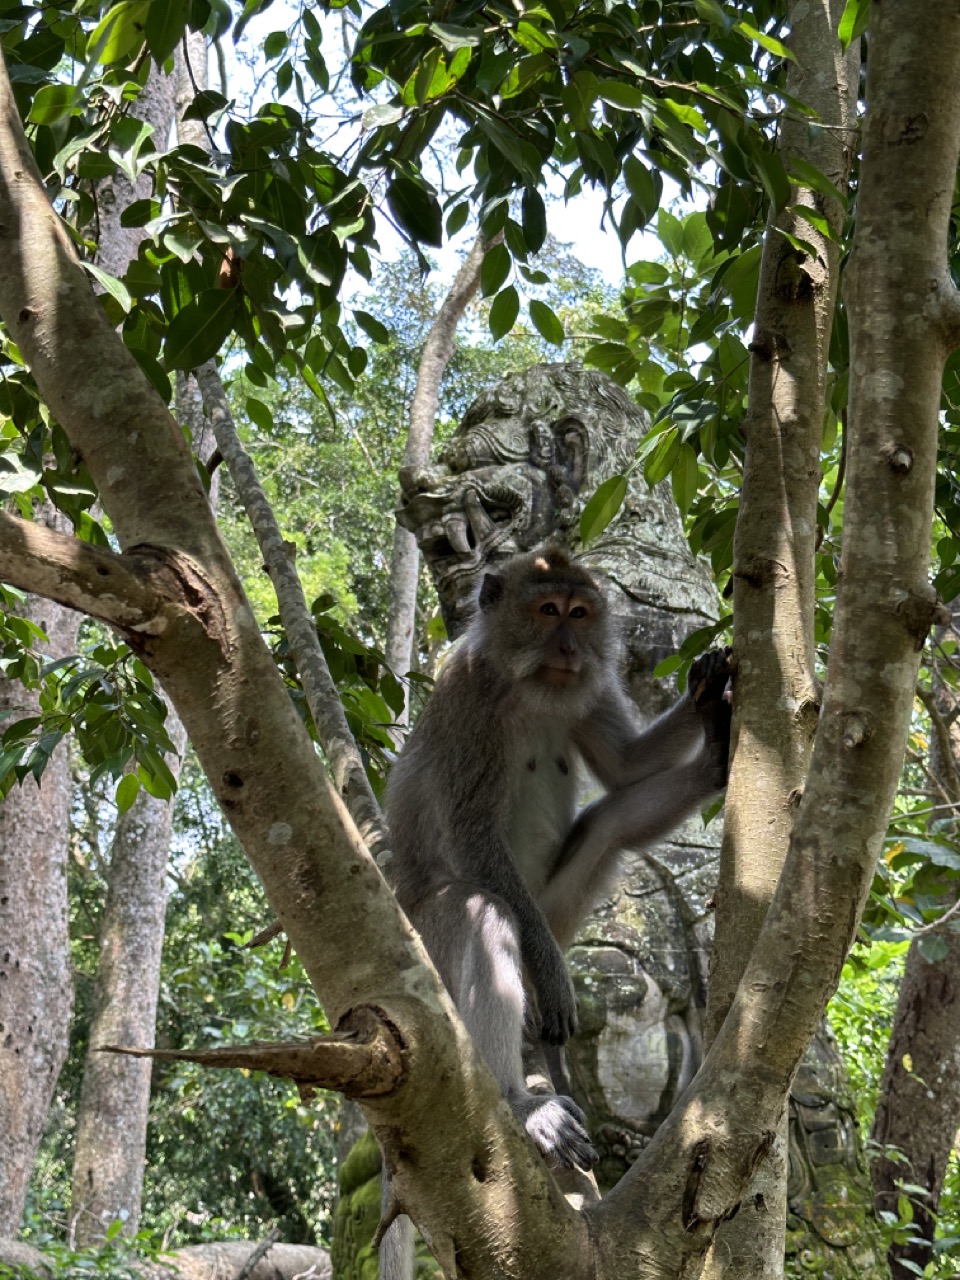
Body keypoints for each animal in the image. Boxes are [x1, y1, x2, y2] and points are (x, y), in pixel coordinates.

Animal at [386, 540, 732, 1172]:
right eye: (547, 611)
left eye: (580, 614)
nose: (570, 649)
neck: (527, 687)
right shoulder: (467, 696)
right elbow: (472, 832)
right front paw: (550, 971)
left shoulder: (586, 692)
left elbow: (626, 766)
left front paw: (704, 689)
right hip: (428, 938)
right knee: (486, 912)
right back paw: (523, 1104)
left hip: (553, 907)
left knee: (609, 825)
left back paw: (714, 761)